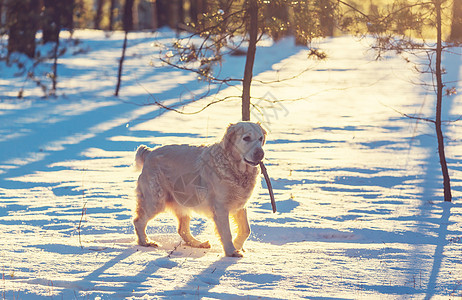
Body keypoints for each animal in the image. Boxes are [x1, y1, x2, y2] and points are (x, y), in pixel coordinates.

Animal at [132, 122, 266, 258]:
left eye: (260, 138)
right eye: (246, 138)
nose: (260, 154)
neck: (234, 167)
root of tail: (149, 153)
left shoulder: (240, 205)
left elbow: (246, 230)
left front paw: (237, 245)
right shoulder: (221, 207)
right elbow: (227, 232)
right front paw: (231, 251)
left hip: (183, 202)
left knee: (182, 230)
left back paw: (198, 243)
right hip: (155, 201)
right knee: (138, 221)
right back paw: (145, 242)